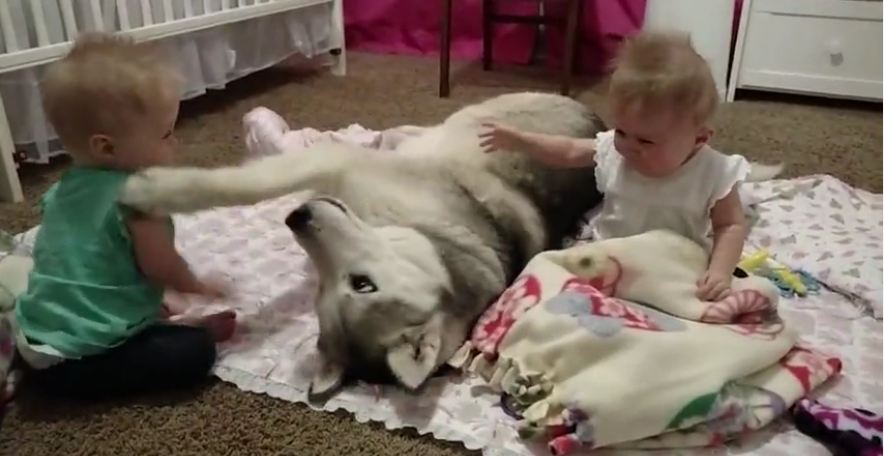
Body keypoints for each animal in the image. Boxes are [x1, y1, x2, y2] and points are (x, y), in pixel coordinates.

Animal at [121, 91, 776, 400]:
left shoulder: (335, 165)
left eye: (360, 285)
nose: (297, 218)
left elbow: (243, 182)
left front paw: (151, 189)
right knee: (407, 132)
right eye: (320, 293)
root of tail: (597, 117)